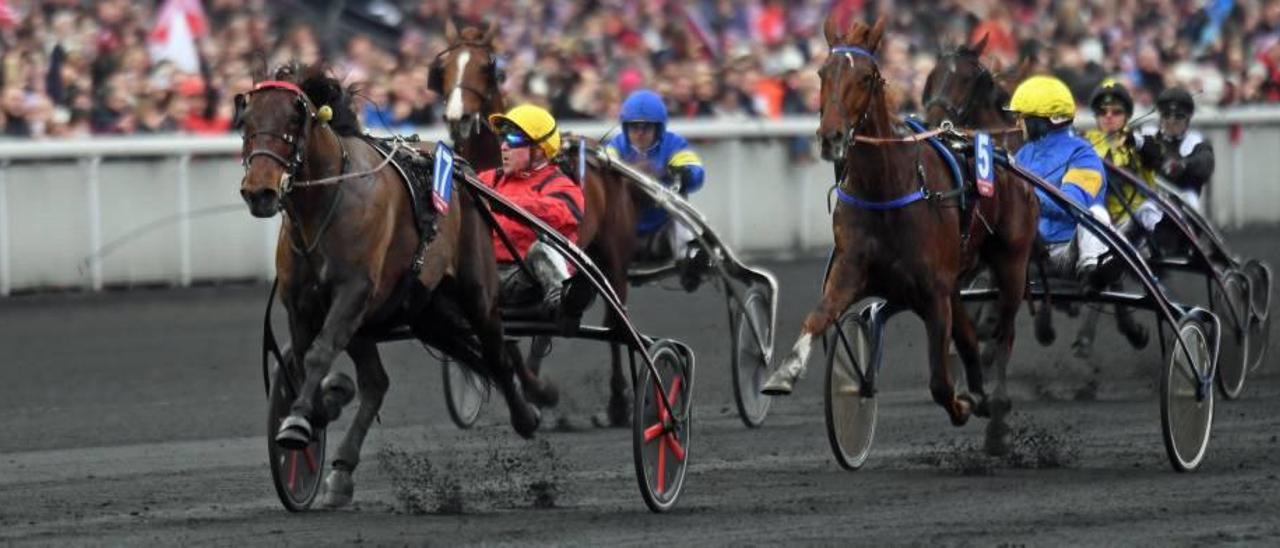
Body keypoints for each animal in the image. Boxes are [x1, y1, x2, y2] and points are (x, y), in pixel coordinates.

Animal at [236, 63, 540, 504]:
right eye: (246, 120)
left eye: (295, 118)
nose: (258, 191)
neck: (327, 202)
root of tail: (459, 169)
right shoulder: (303, 304)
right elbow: (306, 361)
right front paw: (320, 404)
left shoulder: (353, 290)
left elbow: (318, 354)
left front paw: (300, 419)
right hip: (395, 312)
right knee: (377, 382)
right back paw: (341, 469)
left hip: (475, 289)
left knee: (497, 352)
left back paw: (527, 415)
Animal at [432, 22, 640, 427]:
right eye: (444, 66)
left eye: (488, 66)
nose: (457, 116)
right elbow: (506, 337)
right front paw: (536, 390)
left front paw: (540, 391)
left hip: (613, 256)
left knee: (616, 320)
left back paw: (619, 403)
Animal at [757, 17, 1039, 453]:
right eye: (822, 73)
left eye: (866, 76)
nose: (831, 136)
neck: (887, 188)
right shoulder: (854, 271)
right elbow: (820, 314)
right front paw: (785, 372)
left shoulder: (935, 290)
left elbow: (940, 382)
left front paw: (963, 403)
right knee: (971, 335)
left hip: (1010, 264)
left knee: (1002, 334)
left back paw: (996, 411)